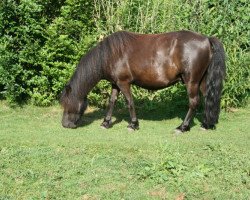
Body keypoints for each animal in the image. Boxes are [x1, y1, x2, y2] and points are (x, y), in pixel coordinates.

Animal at [59, 30, 226, 132]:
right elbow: (111, 102)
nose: (65, 125)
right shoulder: (115, 84)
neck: (110, 54)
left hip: (191, 81)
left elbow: (129, 102)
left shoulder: (124, 83)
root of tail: (206, 39)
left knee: (194, 102)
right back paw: (206, 124)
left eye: (68, 103)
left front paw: (133, 125)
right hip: (201, 81)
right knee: (207, 99)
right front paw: (106, 123)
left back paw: (183, 127)